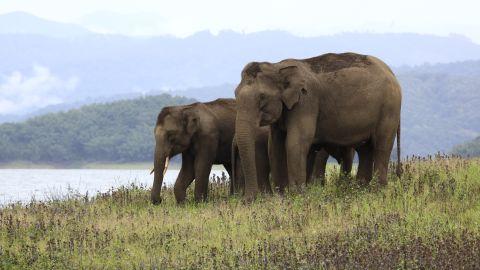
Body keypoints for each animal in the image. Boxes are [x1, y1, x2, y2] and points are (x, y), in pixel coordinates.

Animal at [235, 52, 402, 199]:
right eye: (235, 93)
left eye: (262, 97)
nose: (249, 199)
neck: (277, 66)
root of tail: (392, 73)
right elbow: (275, 146)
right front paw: (281, 197)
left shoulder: (306, 102)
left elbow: (296, 143)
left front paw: (297, 196)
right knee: (365, 149)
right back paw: (361, 191)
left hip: (389, 110)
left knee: (382, 146)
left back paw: (378, 191)